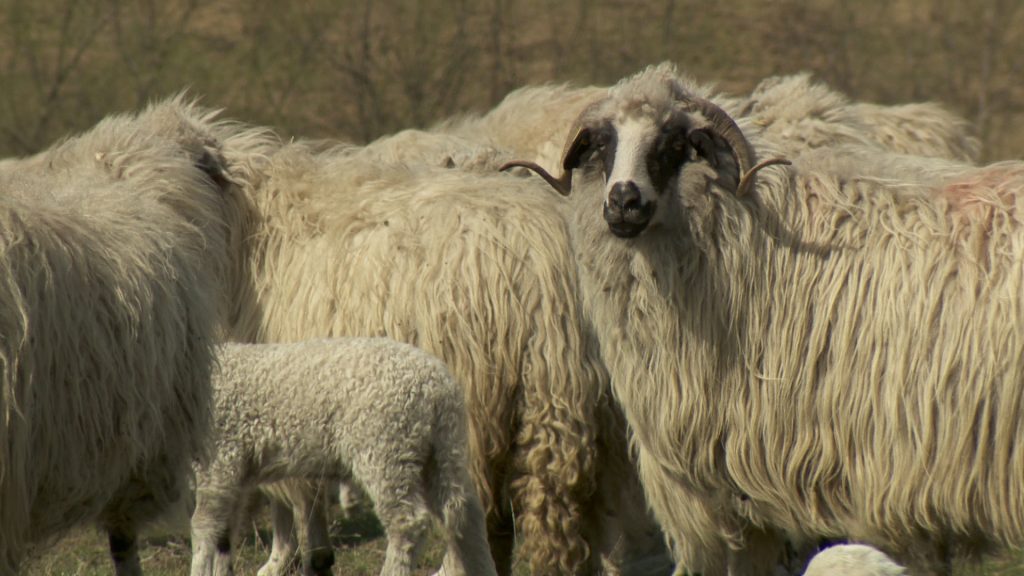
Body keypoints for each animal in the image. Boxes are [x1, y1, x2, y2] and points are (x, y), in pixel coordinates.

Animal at [192, 336, 499, 573]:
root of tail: (438, 386)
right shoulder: (235, 472)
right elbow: (223, 537)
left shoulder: (220, 459)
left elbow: (203, 530)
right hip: (442, 448)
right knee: (464, 514)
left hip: (386, 447)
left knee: (408, 523)